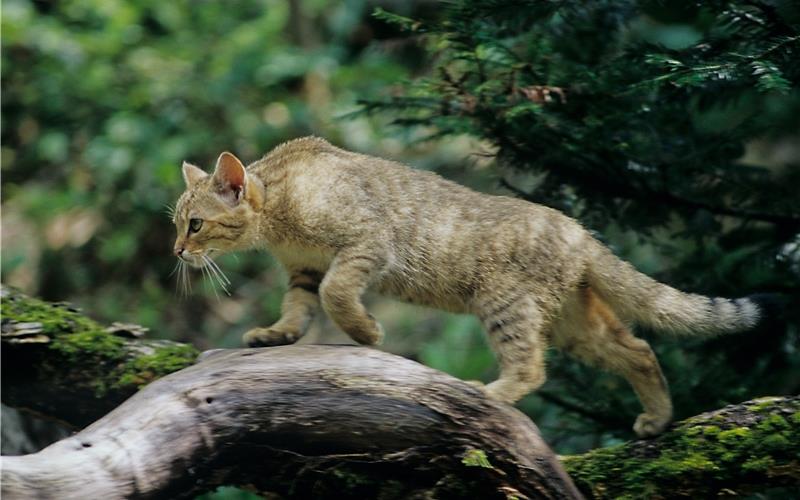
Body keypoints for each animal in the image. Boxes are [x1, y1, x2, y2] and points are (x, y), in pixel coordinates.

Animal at [177, 137, 768, 438]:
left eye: (195, 225)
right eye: (177, 224)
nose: (177, 252)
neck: (277, 212)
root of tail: (577, 230)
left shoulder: (365, 245)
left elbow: (337, 296)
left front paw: (367, 334)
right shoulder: (305, 270)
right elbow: (299, 309)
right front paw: (274, 335)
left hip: (506, 305)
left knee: (532, 367)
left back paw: (489, 393)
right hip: (572, 324)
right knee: (638, 347)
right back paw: (658, 417)